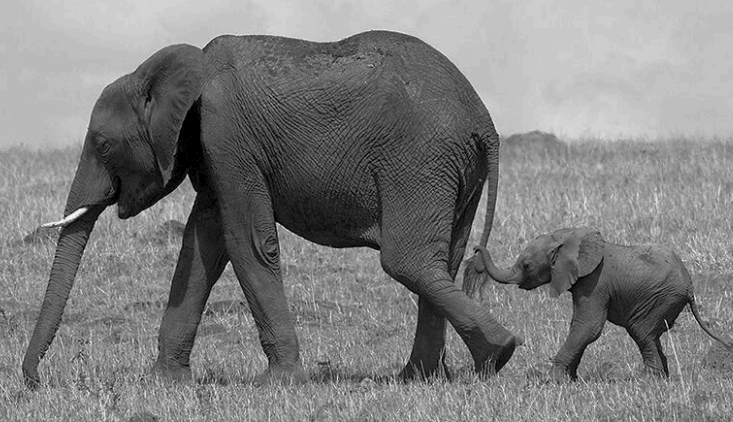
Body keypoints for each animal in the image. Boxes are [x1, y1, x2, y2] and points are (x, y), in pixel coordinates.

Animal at [22, 30, 520, 388]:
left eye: (103, 145)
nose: (35, 381)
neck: (170, 71)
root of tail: (485, 123)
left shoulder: (227, 137)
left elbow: (247, 243)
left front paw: (276, 383)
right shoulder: (213, 153)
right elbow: (201, 249)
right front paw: (165, 383)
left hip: (418, 162)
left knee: (408, 261)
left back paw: (499, 354)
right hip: (454, 170)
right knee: (443, 261)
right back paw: (424, 377)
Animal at [462, 227, 733, 381]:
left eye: (527, 265)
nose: (475, 248)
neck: (567, 239)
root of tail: (690, 287)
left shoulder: (595, 283)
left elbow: (588, 326)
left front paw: (550, 380)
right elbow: (580, 325)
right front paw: (569, 379)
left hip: (662, 296)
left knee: (641, 331)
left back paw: (648, 381)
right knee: (652, 335)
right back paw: (662, 378)